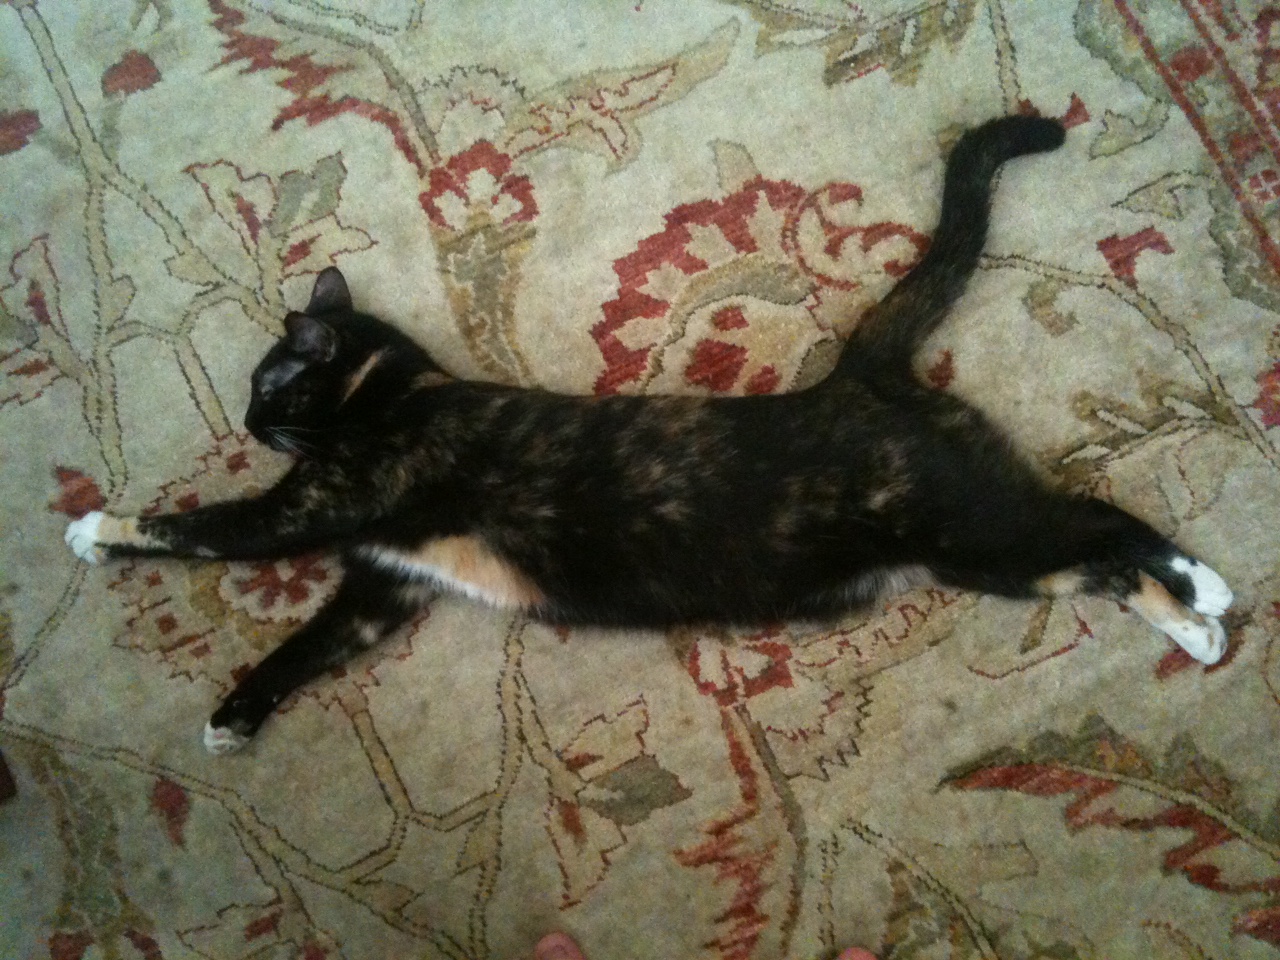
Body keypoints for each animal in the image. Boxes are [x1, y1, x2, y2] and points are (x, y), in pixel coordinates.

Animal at [65, 116, 1233, 754]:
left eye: (267, 378)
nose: (247, 415)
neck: (397, 395)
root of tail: (860, 372)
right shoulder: (383, 586)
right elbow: (308, 644)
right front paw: (236, 715)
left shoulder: (320, 504)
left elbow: (203, 528)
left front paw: (96, 528)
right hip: (986, 552)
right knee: (1098, 545)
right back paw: (1198, 616)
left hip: (974, 533)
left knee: (1097, 528)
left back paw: (1204, 599)